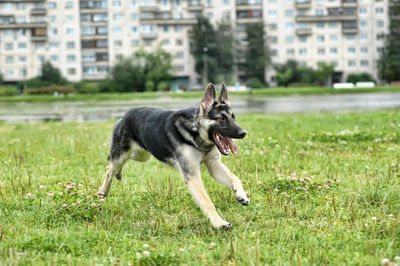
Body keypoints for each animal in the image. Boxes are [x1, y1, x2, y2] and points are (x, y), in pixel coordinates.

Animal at [98, 82, 248, 229]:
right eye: (222, 118)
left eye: (233, 117)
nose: (243, 133)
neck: (196, 131)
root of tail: (124, 116)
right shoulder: (192, 175)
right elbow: (207, 201)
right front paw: (219, 223)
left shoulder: (214, 166)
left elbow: (234, 177)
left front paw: (241, 194)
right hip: (124, 154)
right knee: (109, 168)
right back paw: (103, 191)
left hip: (142, 155)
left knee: (120, 164)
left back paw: (118, 173)